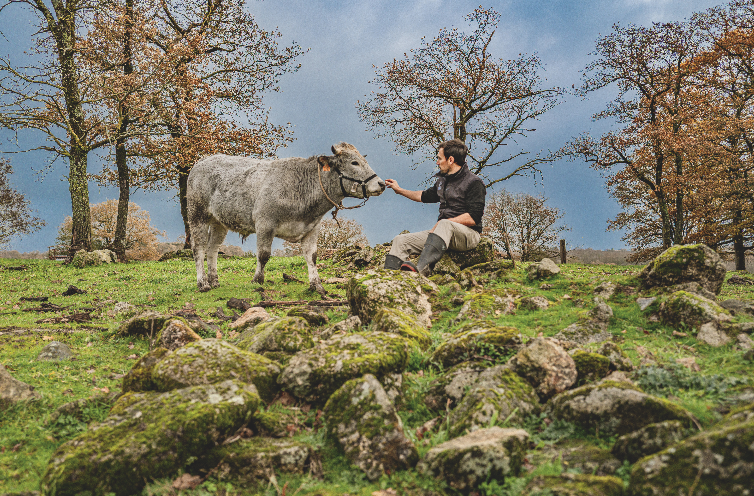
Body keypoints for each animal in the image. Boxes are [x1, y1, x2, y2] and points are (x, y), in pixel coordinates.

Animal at [187, 142, 385, 294]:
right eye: (354, 162)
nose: (381, 183)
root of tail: (203, 160)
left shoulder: (312, 228)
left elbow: (312, 257)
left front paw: (317, 286)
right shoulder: (265, 223)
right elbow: (263, 255)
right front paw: (257, 280)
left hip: (219, 221)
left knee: (213, 249)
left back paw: (214, 281)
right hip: (197, 214)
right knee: (199, 248)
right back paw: (202, 283)